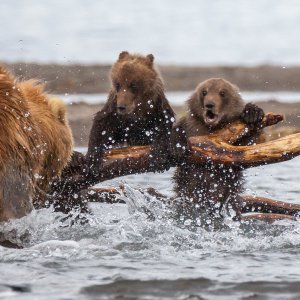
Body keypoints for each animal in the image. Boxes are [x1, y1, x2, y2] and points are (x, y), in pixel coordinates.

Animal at [172, 78, 264, 221]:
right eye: (204, 91)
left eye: (222, 93)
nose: (209, 104)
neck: (212, 128)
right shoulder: (191, 126)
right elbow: (177, 129)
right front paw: (177, 146)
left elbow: (245, 146)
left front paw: (253, 113)